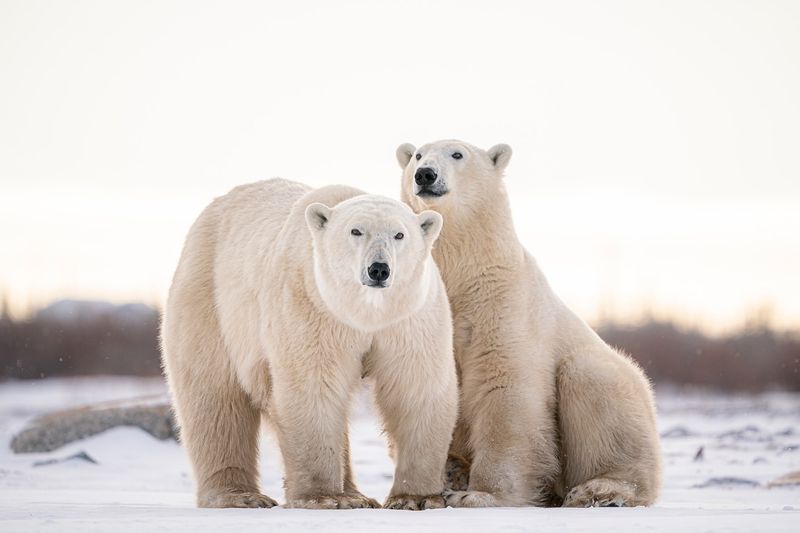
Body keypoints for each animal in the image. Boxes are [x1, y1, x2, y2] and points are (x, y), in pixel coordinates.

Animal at [161, 178, 456, 508]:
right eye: (355, 231)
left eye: (399, 234)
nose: (378, 269)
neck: (364, 313)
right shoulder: (312, 306)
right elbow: (313, 387)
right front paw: (324, 497)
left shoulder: (409, 318)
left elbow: (416, 388)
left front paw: (415, 498)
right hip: (210, 299)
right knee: (215, 398)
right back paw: (241, 496)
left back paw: (356, 494)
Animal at [396, 140, 664, 508]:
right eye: (419, 155)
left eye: (457, 154)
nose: (425, 174)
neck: (464, 272)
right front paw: (424, 492)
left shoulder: (503, 302)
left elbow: (505, 385)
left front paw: (479, 494)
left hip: (621, 389)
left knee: (590, 381)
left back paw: (599, 490)